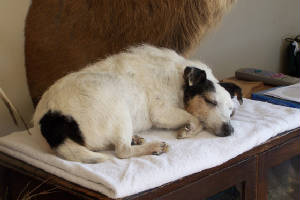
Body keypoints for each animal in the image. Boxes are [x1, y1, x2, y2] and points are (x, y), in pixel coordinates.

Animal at [32, 44, 243, 163]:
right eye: (210, 101)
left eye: (231, 111)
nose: (230, 131)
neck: (179, 80)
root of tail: (51, 120)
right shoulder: (161, 112)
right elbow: (196, 120)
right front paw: (187, 130)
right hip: (118, 107)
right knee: (122, 151)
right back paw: (153, 147)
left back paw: (135, 138)